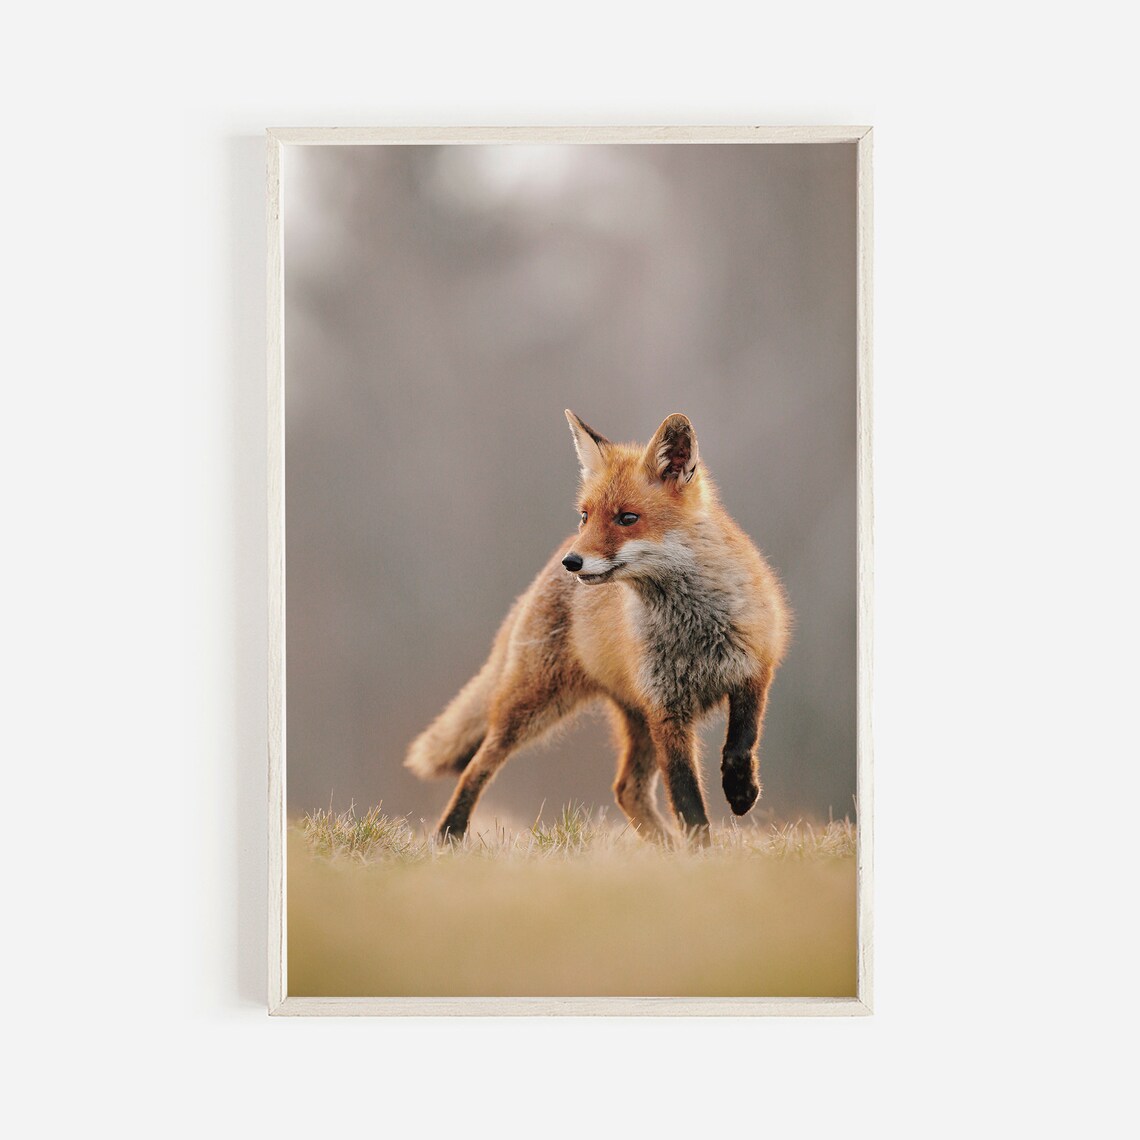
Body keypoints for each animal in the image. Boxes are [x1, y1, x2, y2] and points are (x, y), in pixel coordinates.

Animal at [405, 410, 791, 845]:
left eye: (627, 518)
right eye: (585, 516)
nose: (572, 563)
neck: (693, 628)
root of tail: (543, 569)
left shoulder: (754, 669)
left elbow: (741, 743)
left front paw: (740, 793)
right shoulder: (666, 710)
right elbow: (687, 799)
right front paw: (700, 852)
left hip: (631, 717)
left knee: (627, 789)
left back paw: (665, 846)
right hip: (534, 706)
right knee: (478, 765)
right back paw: (448, 835)